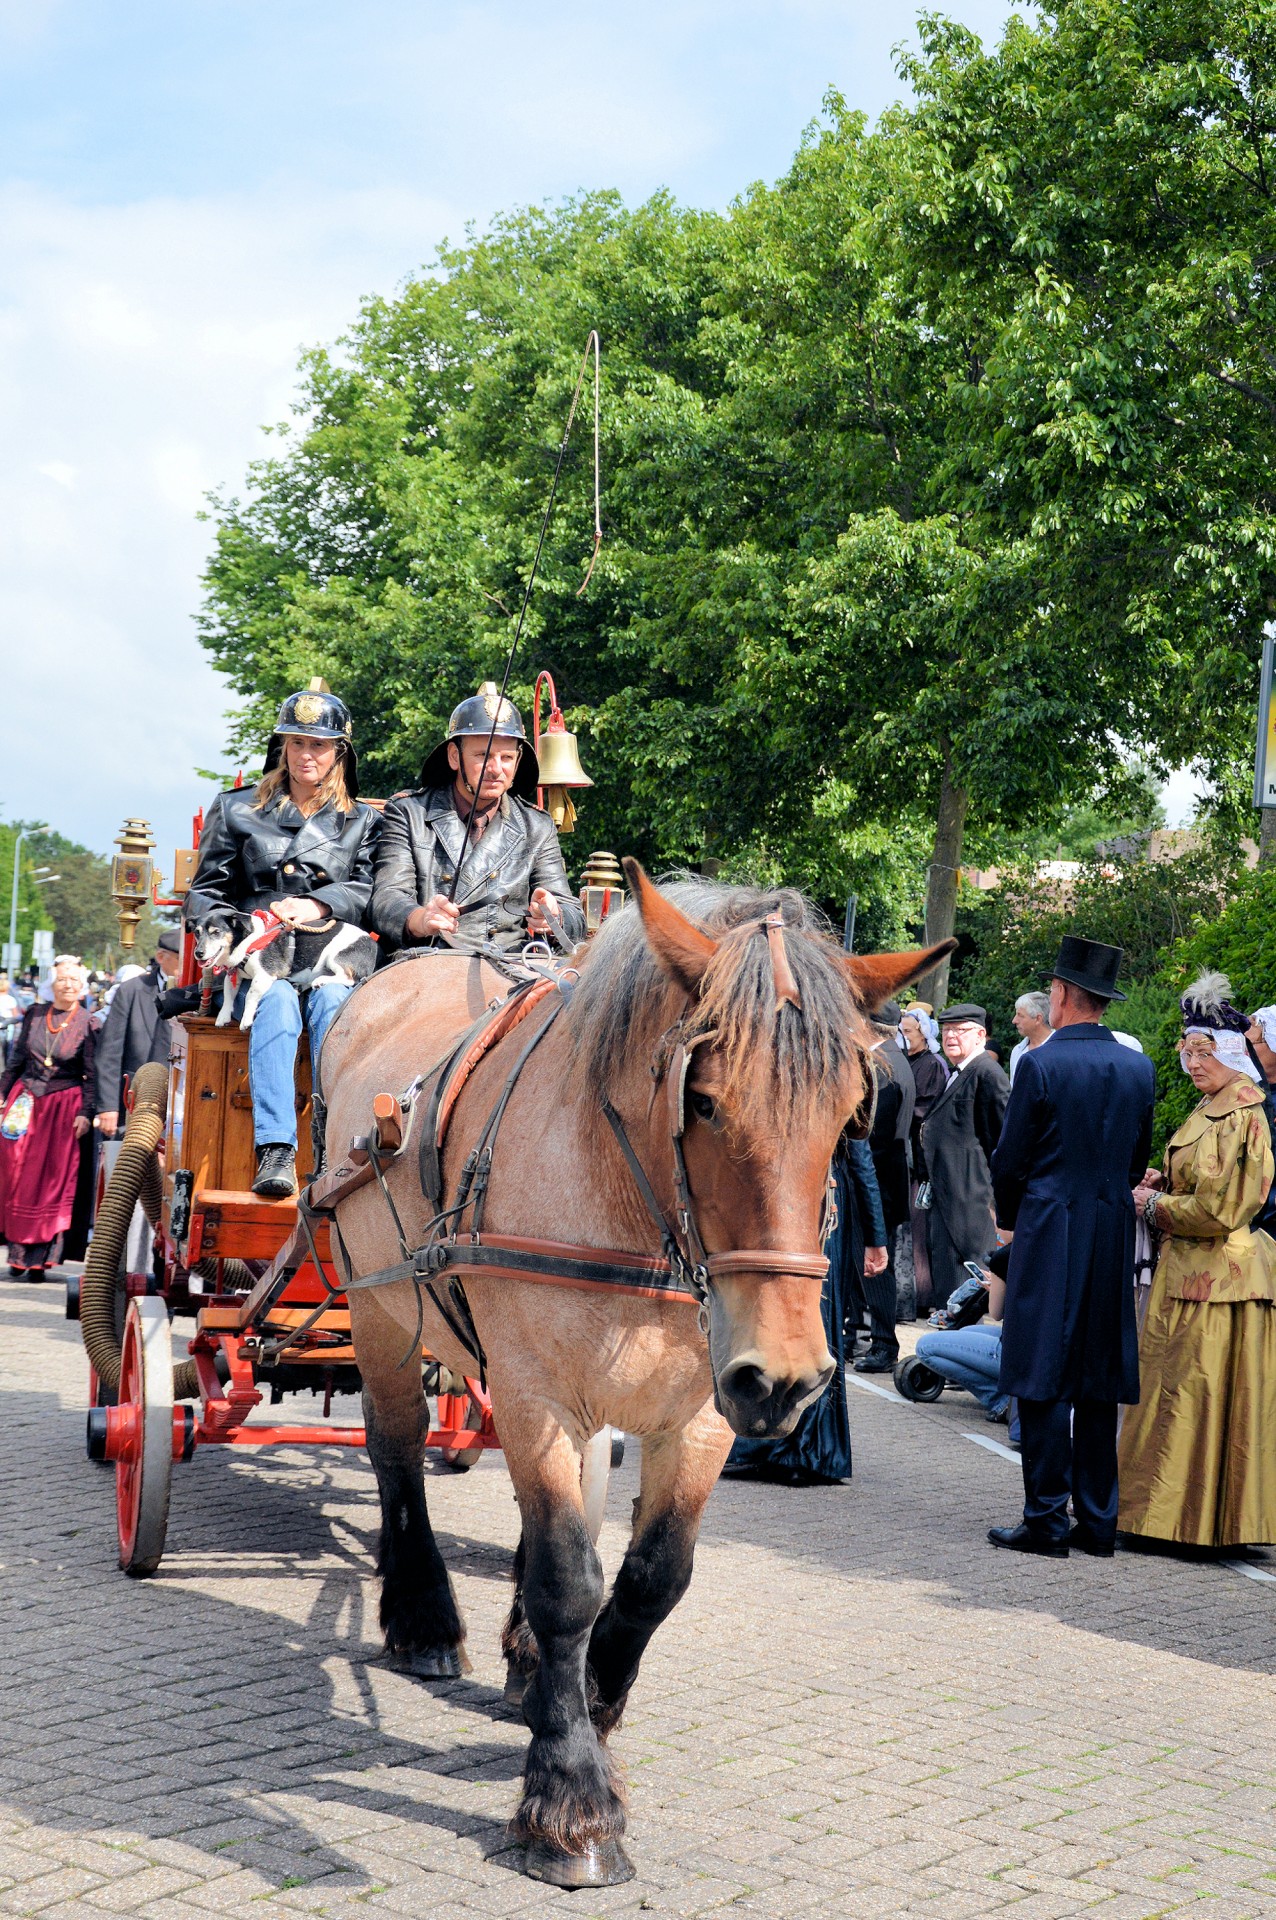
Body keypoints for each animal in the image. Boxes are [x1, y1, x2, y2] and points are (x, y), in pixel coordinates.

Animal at [189, 906, 376, 1029]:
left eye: (216, 932)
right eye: (197, 932)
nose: (198, 953)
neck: (248, 939)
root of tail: (373, 946)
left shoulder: (264, 975)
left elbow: (250, 995)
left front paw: (246, 1019)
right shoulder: (233, 974)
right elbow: (229, 995)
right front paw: (223, 1016)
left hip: (334, 956)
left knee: (349, 978)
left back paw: (321, 981)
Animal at [324, 871, 951, 1889]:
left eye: (851, 1111)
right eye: (703, 1100)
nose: (789, 1379)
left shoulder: (700, 1413)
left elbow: (652, 1576)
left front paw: (580, 1699)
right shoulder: (539, 1395)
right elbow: (568, 1578)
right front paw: (571, 1796)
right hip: (379, 1305)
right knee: (397, 1449)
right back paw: (423, 1617)